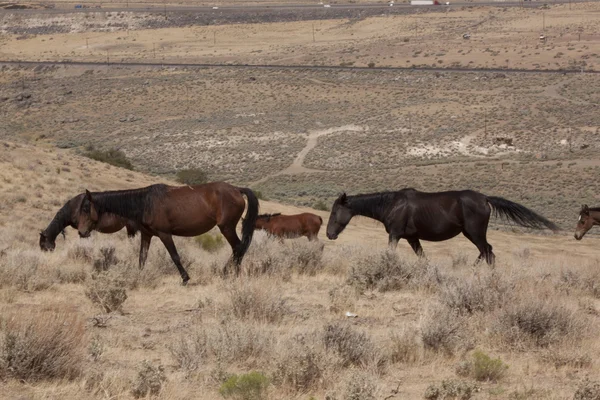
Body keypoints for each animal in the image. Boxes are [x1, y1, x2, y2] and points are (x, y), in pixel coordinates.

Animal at [75, 182, 258, 284]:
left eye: (86, 208)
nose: (81, 232)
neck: (145, 203)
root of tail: (237, 190)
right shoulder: (146, 235)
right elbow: (142, 258)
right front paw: (138, 276)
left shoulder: (164, 234)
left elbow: (174, 256)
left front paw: (185, 278)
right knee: (239, 248)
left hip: (226, 227)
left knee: (238, 247)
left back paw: (229, 273)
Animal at [326, 189, 560, 264]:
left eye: (335, 212)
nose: (329, 234)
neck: (391, 205)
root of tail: (485, 199)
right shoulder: (412, 237)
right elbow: (422, 257)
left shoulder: (395, 235)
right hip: (471, 233)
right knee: (487, 252)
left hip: (474, 233)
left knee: (487, 252)